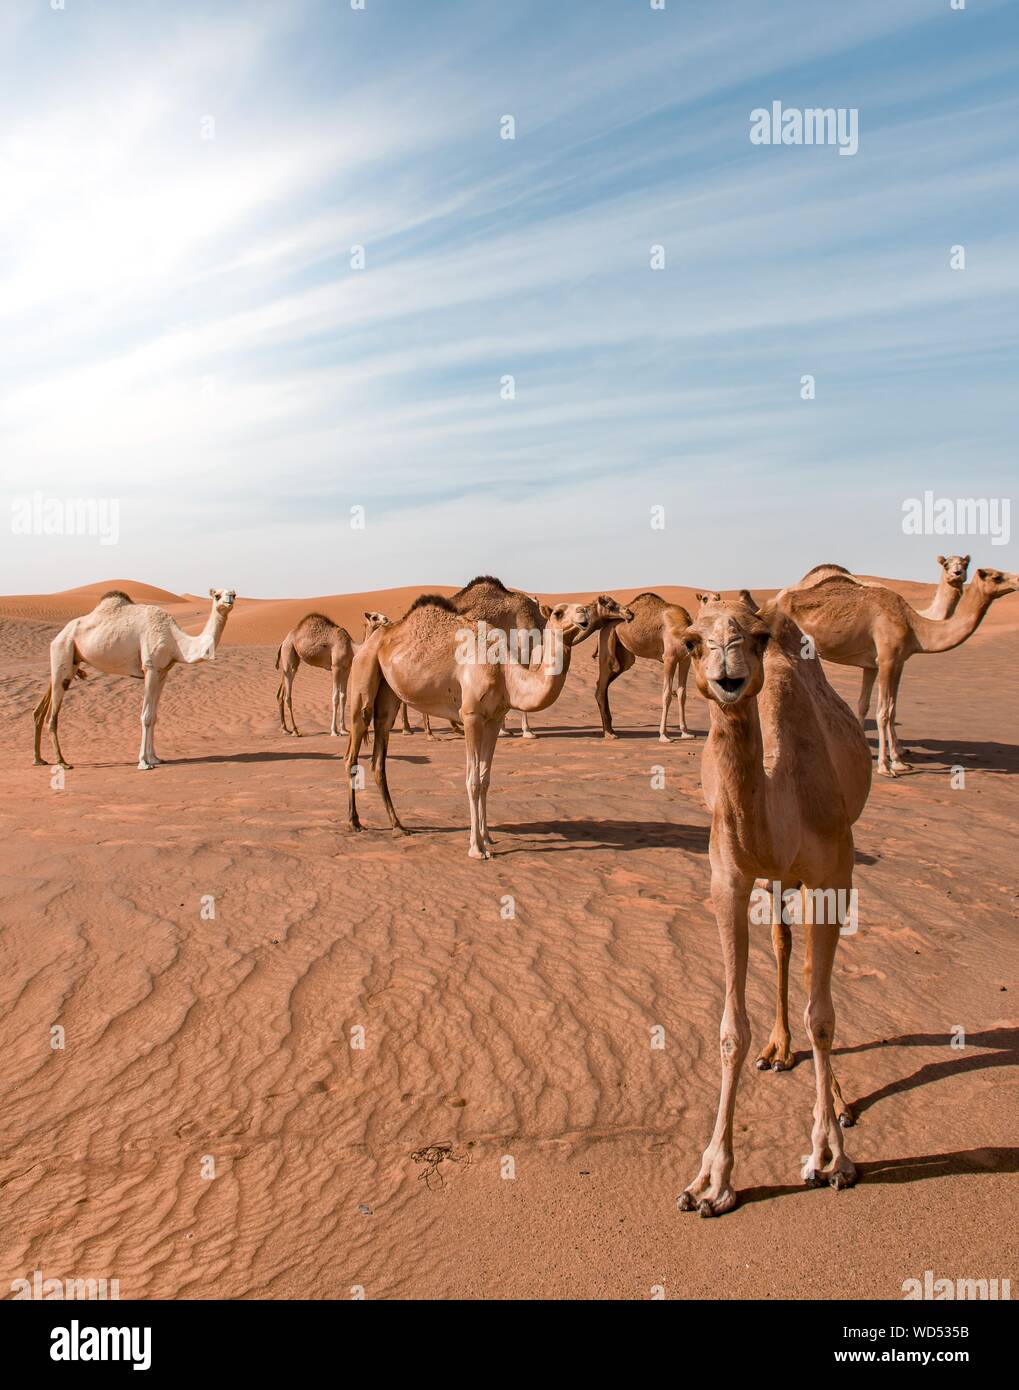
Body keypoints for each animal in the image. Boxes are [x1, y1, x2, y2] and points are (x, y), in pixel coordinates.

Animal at [33, 581, 236, 767]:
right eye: (216, 595)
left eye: (233, 593)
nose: (230, 598)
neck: (175, 641)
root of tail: (58, 636)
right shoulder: (150, 667)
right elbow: (145, 716)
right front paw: (143, 762)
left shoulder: (163, 672)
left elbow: (154, 716)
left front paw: (155, 758)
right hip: (63, 650)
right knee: (53, 715)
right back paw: (62, 762)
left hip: (71, 661)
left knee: (44, 704)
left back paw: (39, 759)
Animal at [592, 592, 695, 745]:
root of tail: (603, 627)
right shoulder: (669, 658)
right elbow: (667, 694)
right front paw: (664, 735)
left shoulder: (685, 659)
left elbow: (682, 694)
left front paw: (686, 733)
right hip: (606, 642)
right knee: (601, 686)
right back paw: (609, 734)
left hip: (625, 657)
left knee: (604, 685)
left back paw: (610, 730)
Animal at [672, 597, 873, 1217]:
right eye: (693, 642)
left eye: (757, 638)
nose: (728, 671)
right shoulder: (728, 879)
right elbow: (730, 1030)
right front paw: (710, 1181)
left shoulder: (834, 873)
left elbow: (824, 1015)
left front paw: (829, 1156)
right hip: (776, 878)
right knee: (783, 944)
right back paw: (778, 1050)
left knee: (810, 976)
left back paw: (838, 1103)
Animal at [772, 567, 1012, 783]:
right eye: (996, 576)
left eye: (964, 564)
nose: (957, 573)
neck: (915, 626)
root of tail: (775, 599)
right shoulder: (887, 659)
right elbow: (883, 713)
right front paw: (885, 767)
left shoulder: (885, 663)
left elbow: (878, 706)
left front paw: (894, 760)